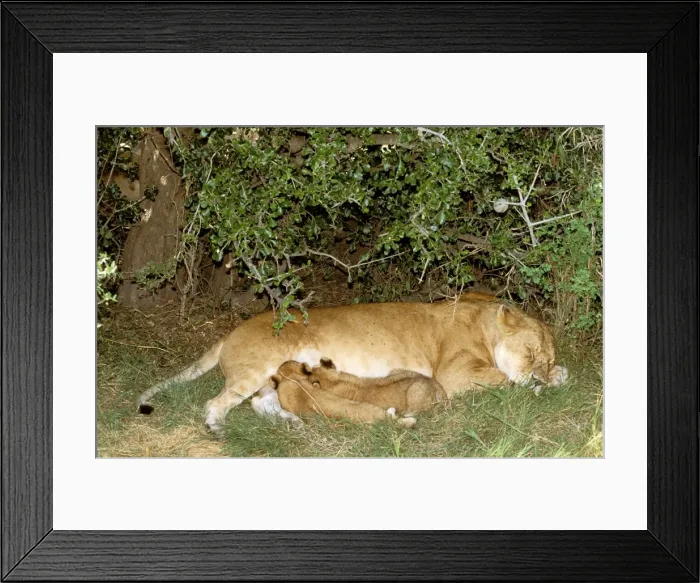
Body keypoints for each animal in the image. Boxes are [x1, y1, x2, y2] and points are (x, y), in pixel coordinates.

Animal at [137, 296, 569, 437]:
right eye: (531, 354)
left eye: (545, 358)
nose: (541, 371)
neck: (484, 325)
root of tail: (230, 332)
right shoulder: (453, 374)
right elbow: (503, 377)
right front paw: (539, 384)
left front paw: (557, 377)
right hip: (254, 369)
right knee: (216, 402)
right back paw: (216, 428)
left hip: (270, 377)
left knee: (262, 403)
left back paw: (294, 423)